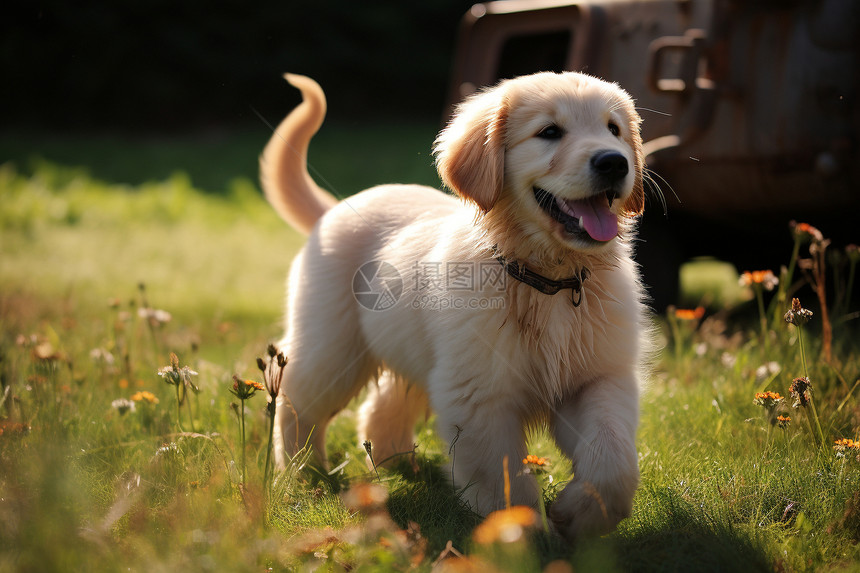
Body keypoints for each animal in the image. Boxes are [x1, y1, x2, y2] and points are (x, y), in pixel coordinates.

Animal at [258, 69, 648, 540]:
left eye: (614, 130)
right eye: (549, 132)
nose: (614, 162)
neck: (548, 281)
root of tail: (335, 208)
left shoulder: (598, 377)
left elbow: (612, 454)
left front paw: (582, 515)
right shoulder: (479, 395)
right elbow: (501, 473)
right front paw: (519, 531)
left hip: (415, 349)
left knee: (382, 405)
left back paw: (397, 463)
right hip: (333, 344)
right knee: (297, 399)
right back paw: (305, 473)